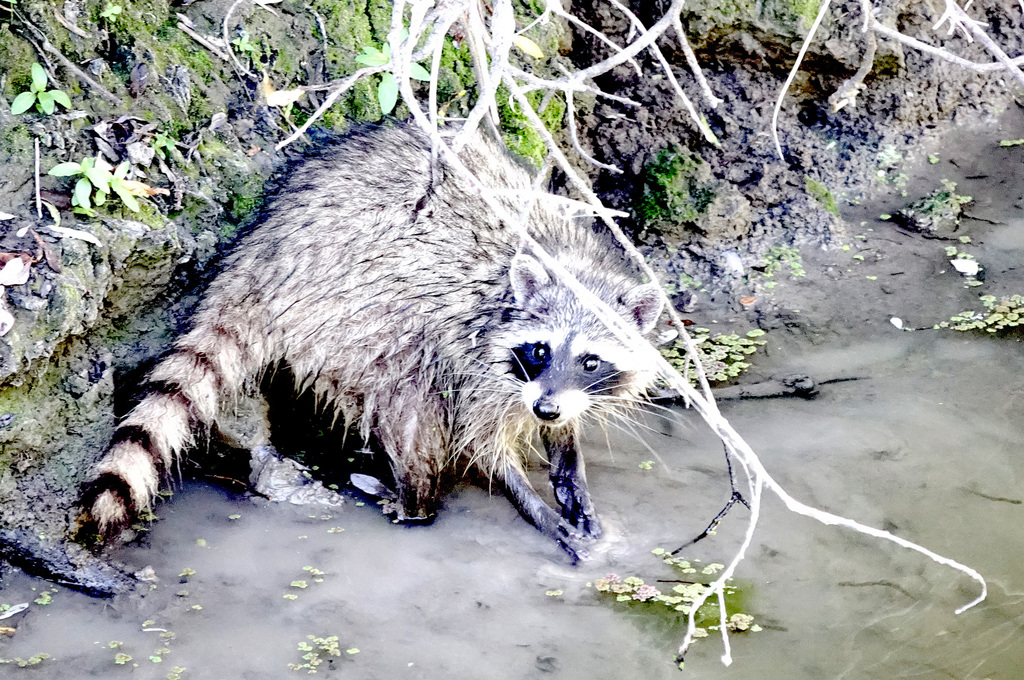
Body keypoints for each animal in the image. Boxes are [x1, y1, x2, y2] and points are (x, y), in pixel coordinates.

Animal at [83, 124, 664, 558]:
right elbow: (479, 441)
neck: (570, 266)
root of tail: (265, 249)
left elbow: (565, 426)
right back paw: (413, 499)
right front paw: (531, 501)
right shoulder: (470, 350)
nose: (545, 409)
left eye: (590, 361)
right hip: (354, 314)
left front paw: (569, 466)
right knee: (410, 403)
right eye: (541, 349)